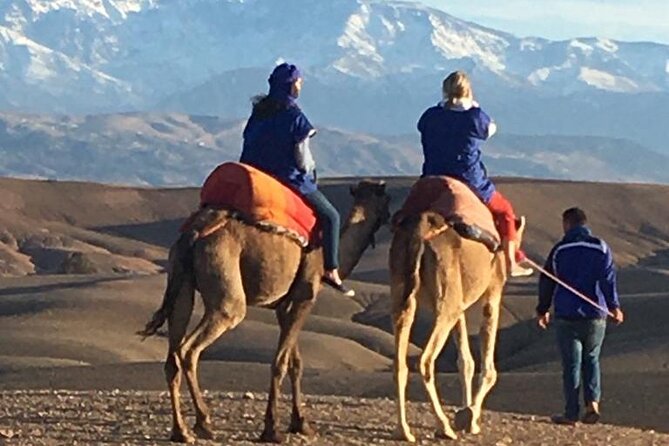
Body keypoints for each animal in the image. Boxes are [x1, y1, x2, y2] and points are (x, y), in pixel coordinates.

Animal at [139, 180, 390, 444]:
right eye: (388, 199)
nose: (392, 218)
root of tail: (193, 234)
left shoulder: (284, 307)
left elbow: (295, 362)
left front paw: (301, 424)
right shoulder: (304, 299)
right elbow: (280, 362)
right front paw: (272, 429)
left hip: (180, 281)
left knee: (173, 355)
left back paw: (181, 431)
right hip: (224, 284)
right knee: (191, 347)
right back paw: (203, 423)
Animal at [390, 211, 526, 441]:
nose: (518, 258)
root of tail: (420, 230)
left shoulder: (460, 303)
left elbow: (465, 362)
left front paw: (466, 413)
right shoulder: (493, 289)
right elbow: (489, 370)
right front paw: (470, 419)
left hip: (404, 291)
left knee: (400, 363)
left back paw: (404, 430)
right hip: (446, 297)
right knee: (425, 360)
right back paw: (444, 426)